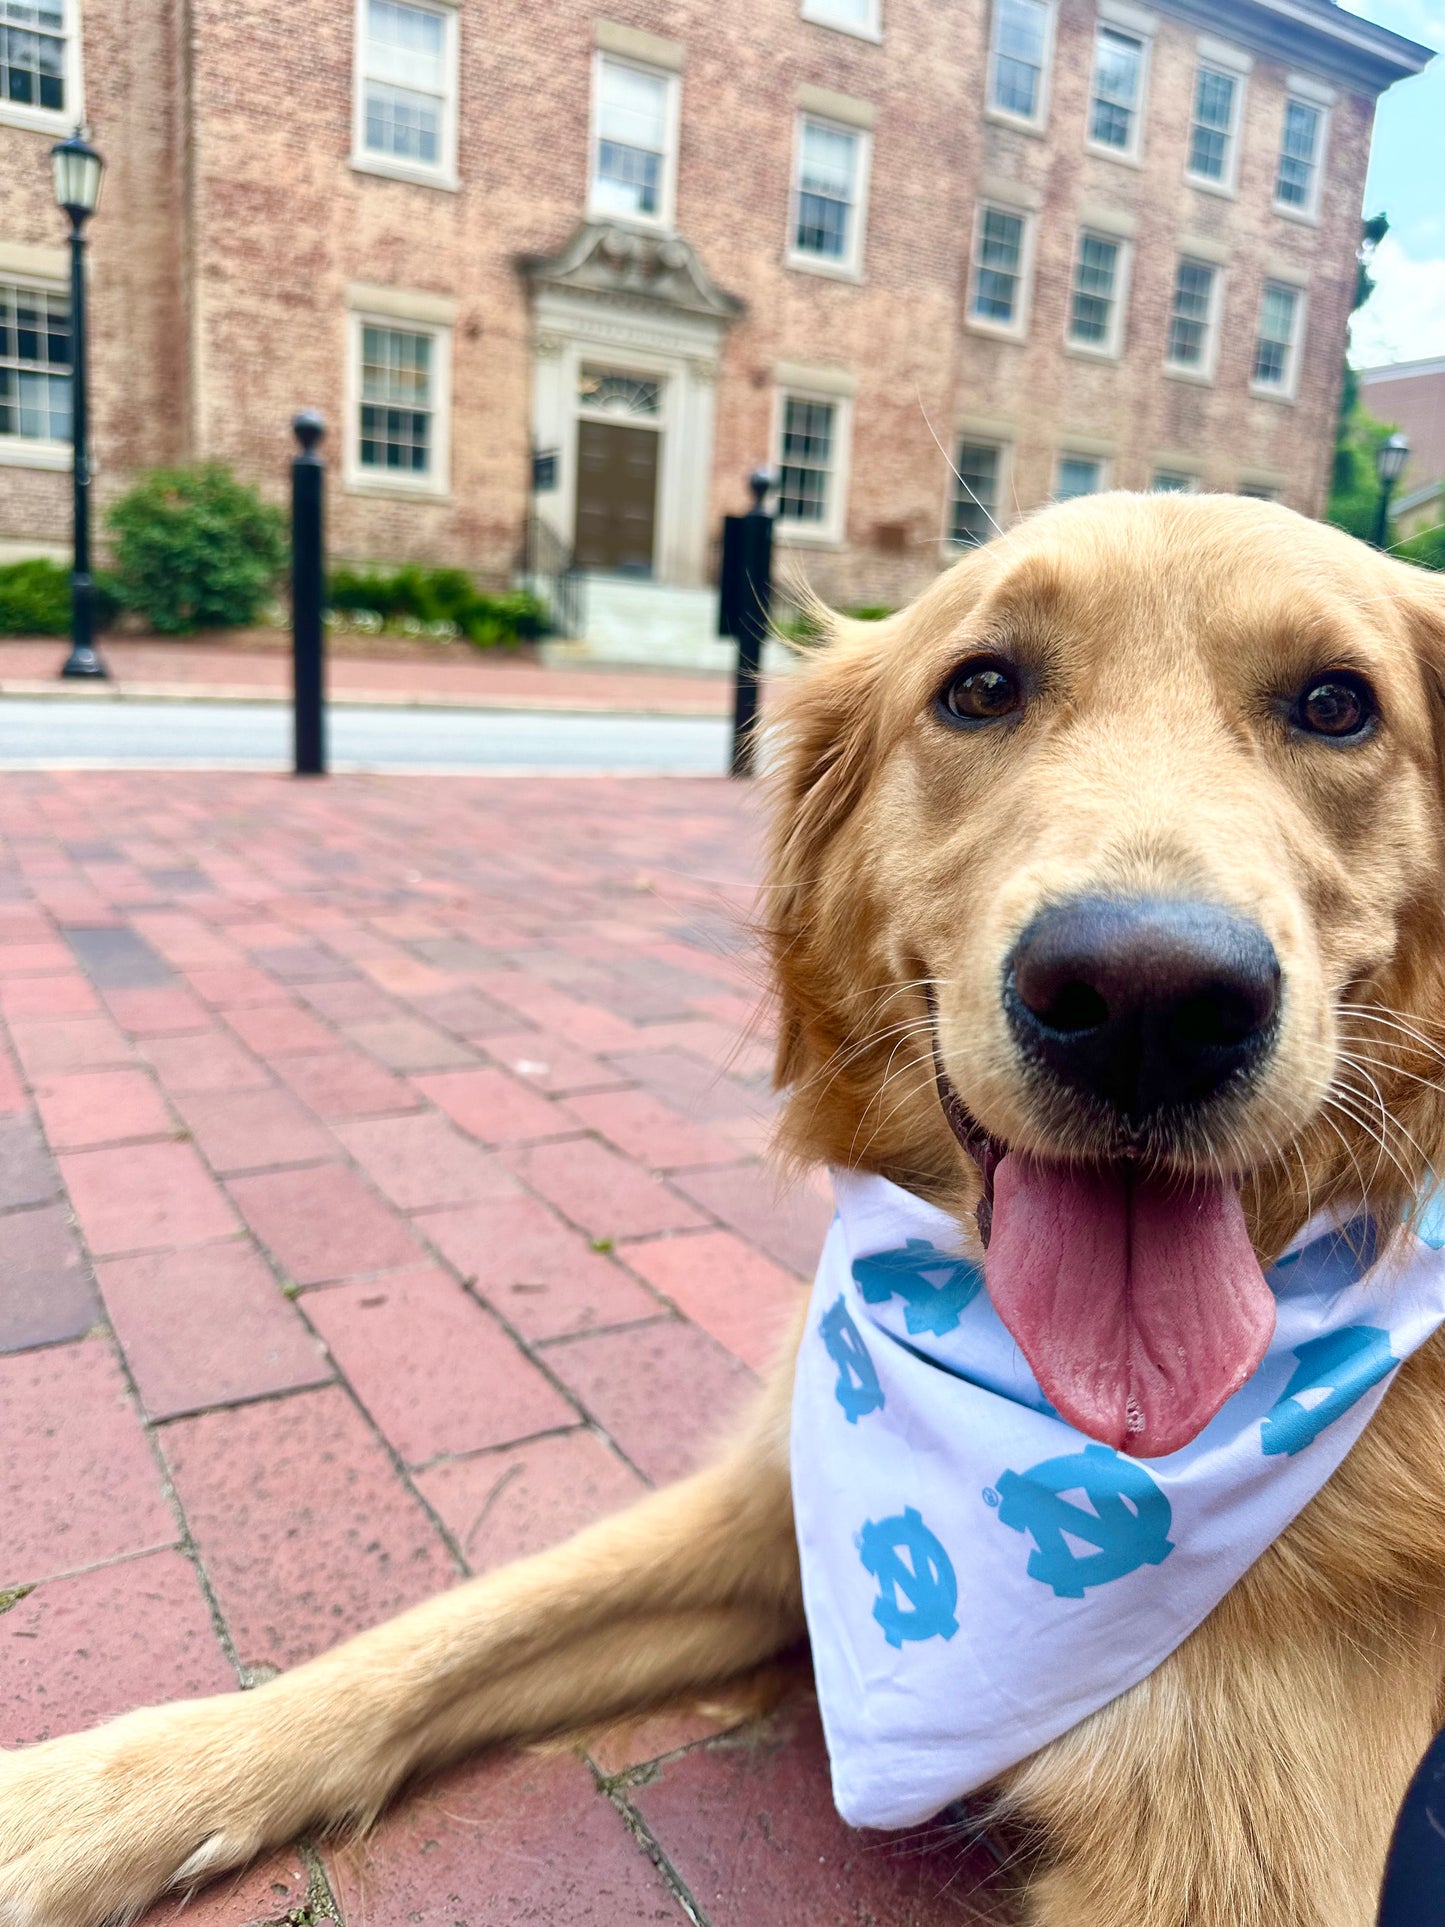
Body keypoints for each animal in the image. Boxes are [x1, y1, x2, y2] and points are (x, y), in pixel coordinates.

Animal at [2, 489, 1445, 1919]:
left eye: (1335, 704)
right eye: (980, 687)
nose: (1148, 1002)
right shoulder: (768, 1512)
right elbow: (450, 1625)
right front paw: (96, 1800)